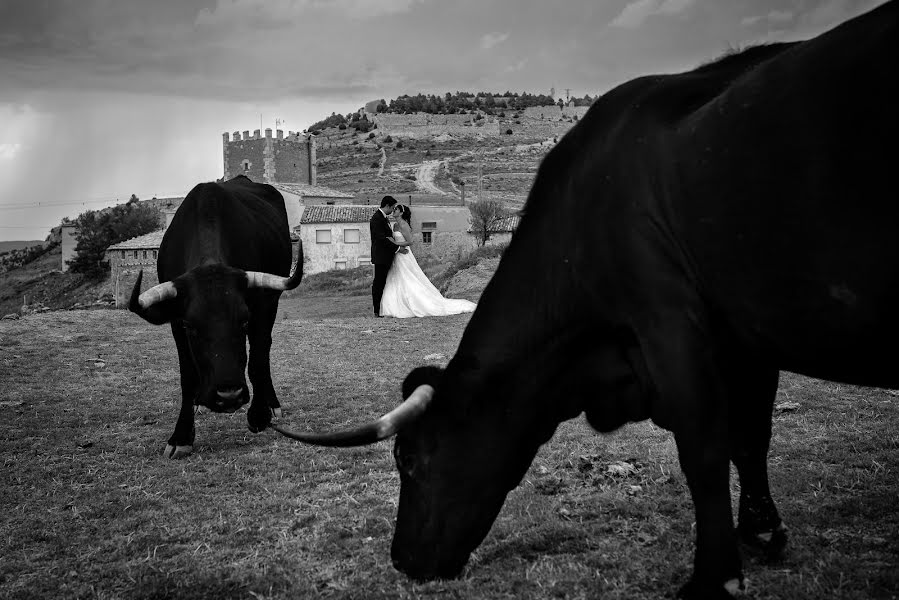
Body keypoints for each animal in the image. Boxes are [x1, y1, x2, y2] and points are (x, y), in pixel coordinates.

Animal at [132, 176, 302, 458]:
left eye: (243, 320)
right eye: (191, 326)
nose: (229, 396)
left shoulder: (260, 308)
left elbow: (257, 359)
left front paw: (259, 415)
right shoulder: (176, 322)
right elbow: (187, 375)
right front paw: (181, 436)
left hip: (272, 302)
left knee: (264, 349)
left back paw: (271, 403)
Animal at [276, 2, 899, 596]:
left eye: (409, 458)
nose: (402, 561)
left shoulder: (671, 328)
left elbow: (704, 449)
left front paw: (714, 576)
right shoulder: (746, 340)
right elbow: (751, 439)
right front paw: (763, 531)